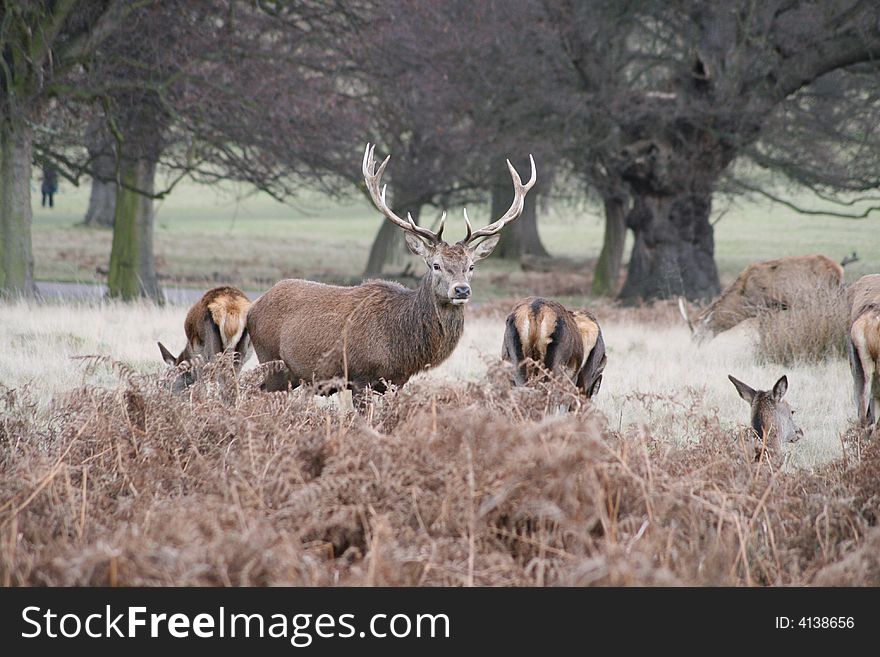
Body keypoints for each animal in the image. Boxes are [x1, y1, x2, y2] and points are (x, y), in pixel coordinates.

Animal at [248, 144, 536, 400]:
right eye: (436, 265)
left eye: (471, 266)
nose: (462, 289)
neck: (401, 346)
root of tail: (253, 305)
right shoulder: (359, 376)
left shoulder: (397, 382)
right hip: (271, 359)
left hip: (292, 375)